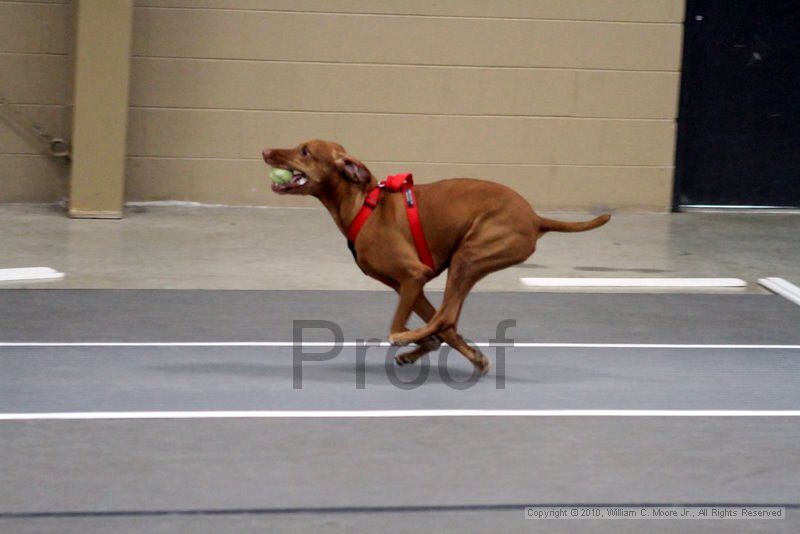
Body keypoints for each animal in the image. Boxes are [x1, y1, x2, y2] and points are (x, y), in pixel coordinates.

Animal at [260, 142, 608, 376]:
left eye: (305, 151)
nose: (265, 151)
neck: (363, 205)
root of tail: (535, 218)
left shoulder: (414, 274)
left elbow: (412, 324)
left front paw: (409, 340)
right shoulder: (404, 285)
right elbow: (443, 333)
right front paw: (471, 356)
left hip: (468, 256)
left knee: (444, 317)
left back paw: (404, 338)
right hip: (466, 262)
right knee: (447, 319)